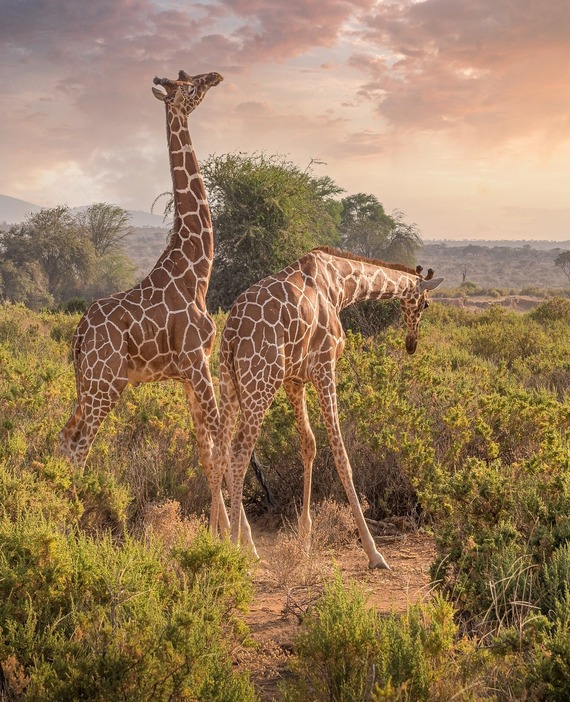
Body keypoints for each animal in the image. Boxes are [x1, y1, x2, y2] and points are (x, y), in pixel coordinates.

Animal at [58, 69, 254, 548]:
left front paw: (218, 535)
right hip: (105, 386)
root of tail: (78, 335)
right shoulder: (197, 363)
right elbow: (221, 444)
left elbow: (206, 450)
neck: (196, 270)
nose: (216, 75)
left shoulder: (187, 373)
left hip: (90, 384)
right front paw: (236, 542)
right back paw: (68, 529)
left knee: (64, 437)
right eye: (189, 85)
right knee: (80, 445)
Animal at [211, 246, 443, 569]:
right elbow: (340, 453)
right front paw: (374, 552)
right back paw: (237, 548)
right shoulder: (324, 366)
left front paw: (305, 537)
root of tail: (231, 331)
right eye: (425, 305)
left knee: (218, 450)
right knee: (239, 452)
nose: (411, 344)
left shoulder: (295, 379)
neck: (340, 284)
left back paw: (210, 539)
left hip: (228, 381)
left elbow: (309, 444)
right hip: (261, 381)